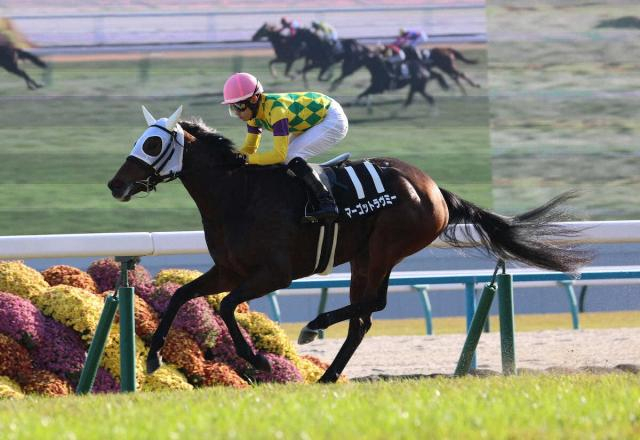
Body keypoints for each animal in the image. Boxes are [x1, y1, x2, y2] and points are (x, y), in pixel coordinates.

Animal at [108, 106, 590, 382]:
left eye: (152, 143)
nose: (115, 184)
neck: (237, 196)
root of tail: (434, 188)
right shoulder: (229, 270)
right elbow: (181, 296)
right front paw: (153, 358)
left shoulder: (275, 274)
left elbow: (226, 307)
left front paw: (257, 361)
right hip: (365, 257)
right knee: (364, 317)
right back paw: (328, 373)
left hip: (382, 250)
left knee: (372, 307)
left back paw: (314, 326)